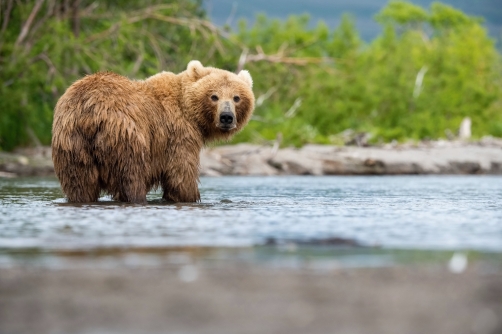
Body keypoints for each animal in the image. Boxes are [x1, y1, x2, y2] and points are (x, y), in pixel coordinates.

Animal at [51, 61, 255, 205]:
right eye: (214, 96)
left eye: (236, 97)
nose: (226, 117)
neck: (191, 114)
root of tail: (89, 111)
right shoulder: (178, 133)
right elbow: (181, 173)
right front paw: (188, 196)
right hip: (126, 134)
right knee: (131, 176)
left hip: (71, 143)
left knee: (80, 183)